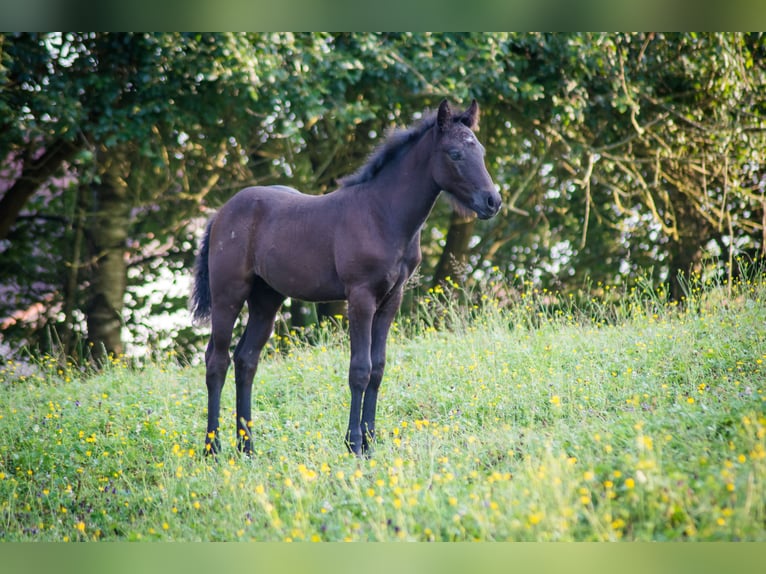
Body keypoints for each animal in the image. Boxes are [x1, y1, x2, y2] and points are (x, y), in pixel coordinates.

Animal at [190, 100, 504, 460]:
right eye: (455, 153)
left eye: (480, 150)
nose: (492, 201)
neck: (382, 214)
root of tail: (220, 213)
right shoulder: (361, 297)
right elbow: (360, 369)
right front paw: (354, 443)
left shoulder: (391, 300)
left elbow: (378, 369)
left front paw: (370, 442)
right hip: (228, 294)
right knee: (217, 361)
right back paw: (212, 448)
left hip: (266, 299)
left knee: (246, 361)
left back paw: (247, 447)